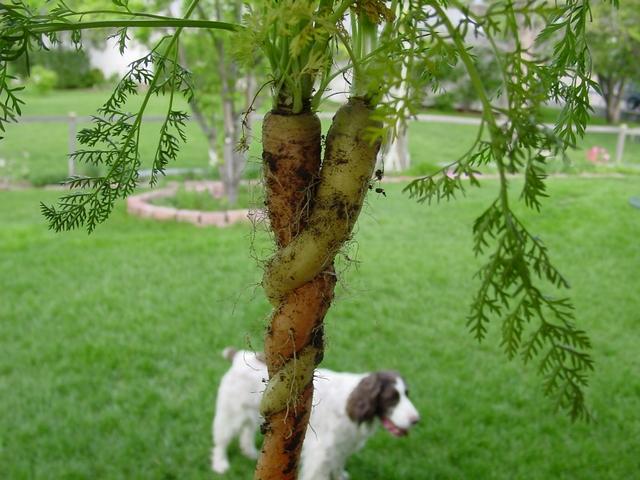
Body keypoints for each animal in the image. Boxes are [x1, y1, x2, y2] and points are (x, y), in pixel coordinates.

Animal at [211, 348, 420, 479]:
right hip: (232, 412)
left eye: (407, 394)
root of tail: (239, 356)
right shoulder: (320, 452)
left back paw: (249, 452)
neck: (349, 406)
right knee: (222, 439)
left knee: (246, 430)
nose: (416, 420)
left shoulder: (341, 446)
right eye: (392, 398)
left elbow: (338, 465)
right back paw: (220, 464)